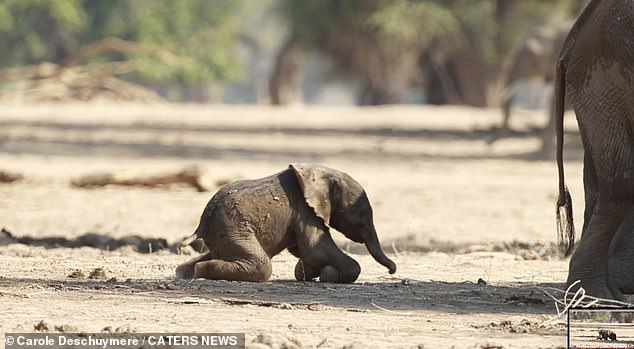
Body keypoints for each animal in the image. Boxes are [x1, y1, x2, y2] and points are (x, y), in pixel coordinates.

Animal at [174, 164, 396, 282]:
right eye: (362, 212)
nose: (392, 270)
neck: (321, 173)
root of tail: (202, 223)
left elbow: (305, 251)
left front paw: (310, 273)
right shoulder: (305, 210)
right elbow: (315, 248)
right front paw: (327, 274)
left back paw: (187, 272)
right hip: (232, 228)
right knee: (262, 265)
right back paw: (200, 272)